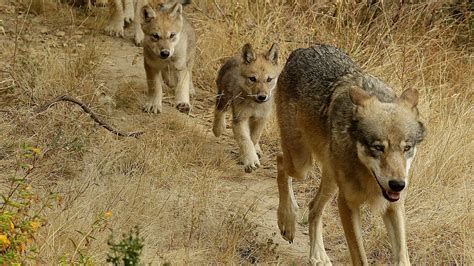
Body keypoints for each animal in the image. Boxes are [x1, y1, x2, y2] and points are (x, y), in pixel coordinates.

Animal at [274, 44, 426, 264]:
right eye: (378, 147)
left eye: (406, 148)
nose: (398, 184)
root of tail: (302, 49)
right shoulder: (347, 204)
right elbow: (360, 258)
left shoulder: (394, 206)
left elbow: (403, 258)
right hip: (302, 165)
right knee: (280, 161)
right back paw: (287, 220)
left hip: (329, 179)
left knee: (313, 207)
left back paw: (318, 255)